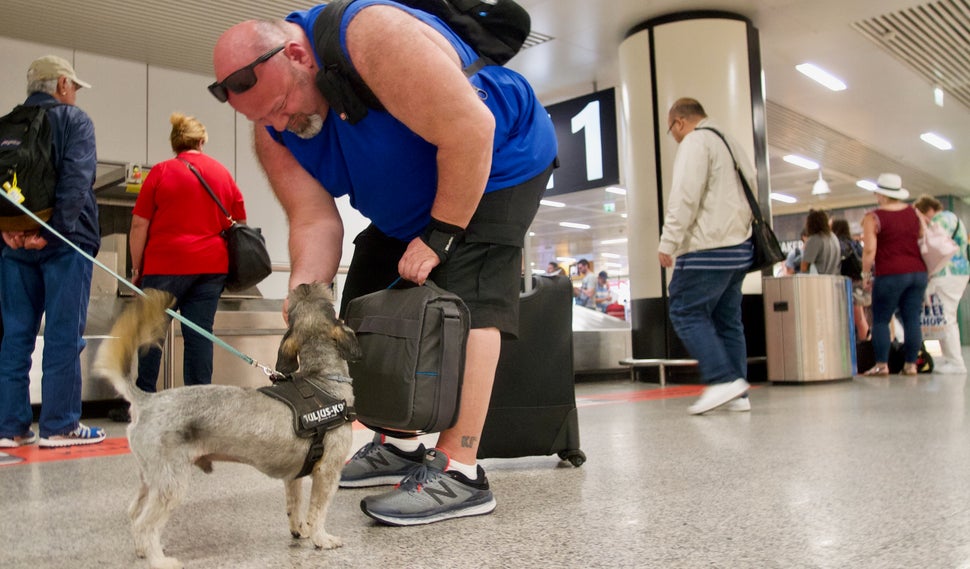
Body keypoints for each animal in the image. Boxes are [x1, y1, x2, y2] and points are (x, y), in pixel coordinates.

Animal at [93, 284, 360, 568]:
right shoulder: (328, 471)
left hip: (151, 478)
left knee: (134, 513)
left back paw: (143, 550)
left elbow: (295, 505)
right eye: (330, 305)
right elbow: (318, 510)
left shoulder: (294, 475)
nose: (303, 285)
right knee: (145, 523)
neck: (321, 379)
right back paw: (159, 560)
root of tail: (147, 400)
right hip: (171, 484)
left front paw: (301, 529)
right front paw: (321, 538)